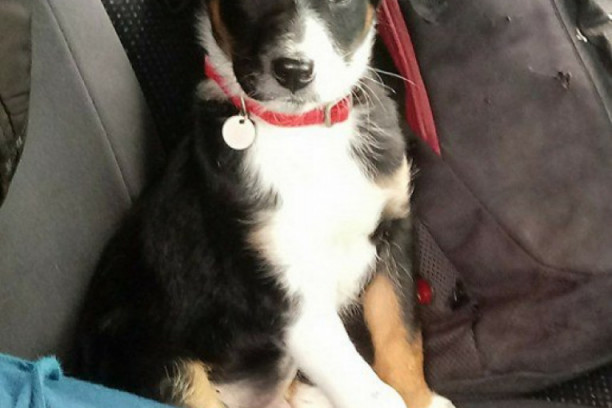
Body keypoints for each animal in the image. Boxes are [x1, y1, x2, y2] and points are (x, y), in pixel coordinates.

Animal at [73, 1, 455, 408]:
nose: (294, 71)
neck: (304, 132)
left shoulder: (393, 233)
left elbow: (402, 335)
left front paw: (420, 397)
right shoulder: (289, 295)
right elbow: (370, 391)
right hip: (164, 367)